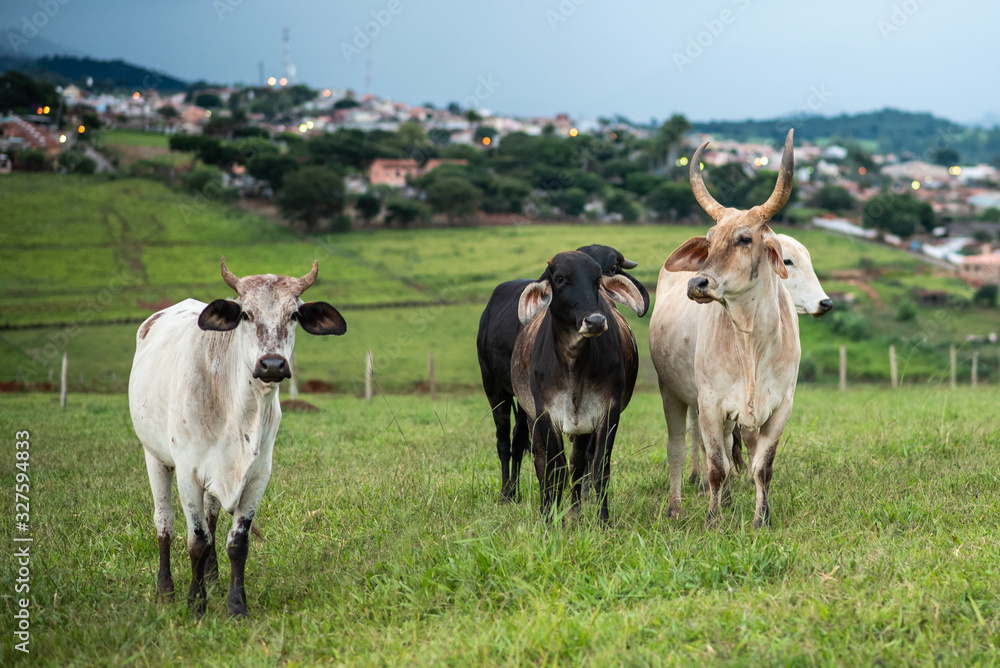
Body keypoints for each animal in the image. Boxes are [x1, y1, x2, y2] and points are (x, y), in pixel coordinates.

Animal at [129, 259, 346, 618]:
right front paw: (196, 604)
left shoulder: (257, 475)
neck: (240, 410)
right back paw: (166, 589)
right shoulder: (188, 473)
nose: (272, 364)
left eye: (294, 315)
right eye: (245, 313)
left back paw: (214, 581)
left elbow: (236, 543)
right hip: (154, 457)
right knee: (165, 523)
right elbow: (197, 541)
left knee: (213, 520)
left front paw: (236, 605)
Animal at [477, 245, 648, 501]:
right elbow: (553, 465)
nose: (596, 320)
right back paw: (508, 492)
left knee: (521, 441)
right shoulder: (543, 412)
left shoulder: (602, 412)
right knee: (505, 442)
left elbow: (589, 462)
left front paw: (585, 497)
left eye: (609, 271)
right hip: (495, 389)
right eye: (560, 279)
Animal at [648, 129, 801, 528]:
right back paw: (677, 507)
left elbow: (762, 467)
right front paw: (713, 520)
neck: (751, 340)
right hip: (671, 392)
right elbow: (716, 467)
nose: (697, 284)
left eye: (744, 238)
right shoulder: (710, 404)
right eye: (710, 240)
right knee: (679, 448)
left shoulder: (781, 407)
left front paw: (762, 518)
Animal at [685, 232, 832, 488]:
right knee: (697, 432)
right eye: (788, 261)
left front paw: (748, 479)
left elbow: (750, 438)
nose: (825, 303)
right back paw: (698, 476)